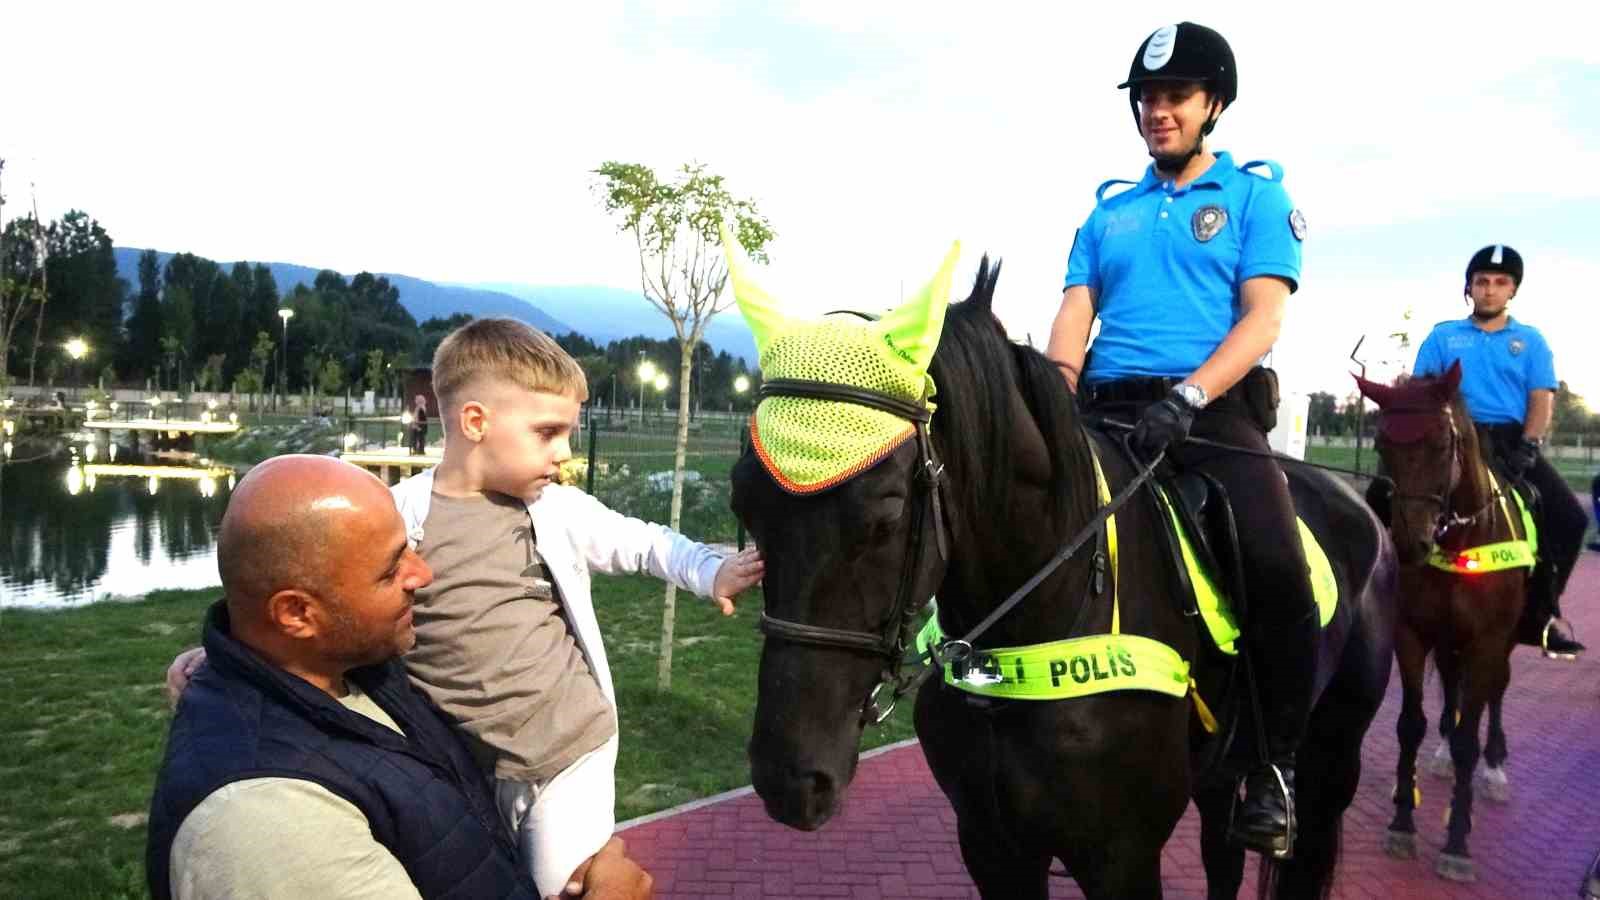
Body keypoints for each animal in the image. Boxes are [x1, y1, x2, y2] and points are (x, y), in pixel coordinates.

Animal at [732, 256, 1395, 890]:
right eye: (744, 505)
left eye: (887, 514)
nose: (789, 780)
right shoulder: (991, 846)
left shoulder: (1122, 860)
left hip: (1331, 765)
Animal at [1356, 360, 1529, 877]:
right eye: (1383, 446)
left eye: (1440, 444)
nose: (1410, 544)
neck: (1459, 540)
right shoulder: (1411, 635)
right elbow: (1410, 724)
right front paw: (1402, 823)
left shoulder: (1488, 642)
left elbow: (1472, 733)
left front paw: (1456, 840)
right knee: (1454, 686)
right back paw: (1442, 752)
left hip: (1500, 647)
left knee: (1494, 694)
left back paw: (1492, 768)